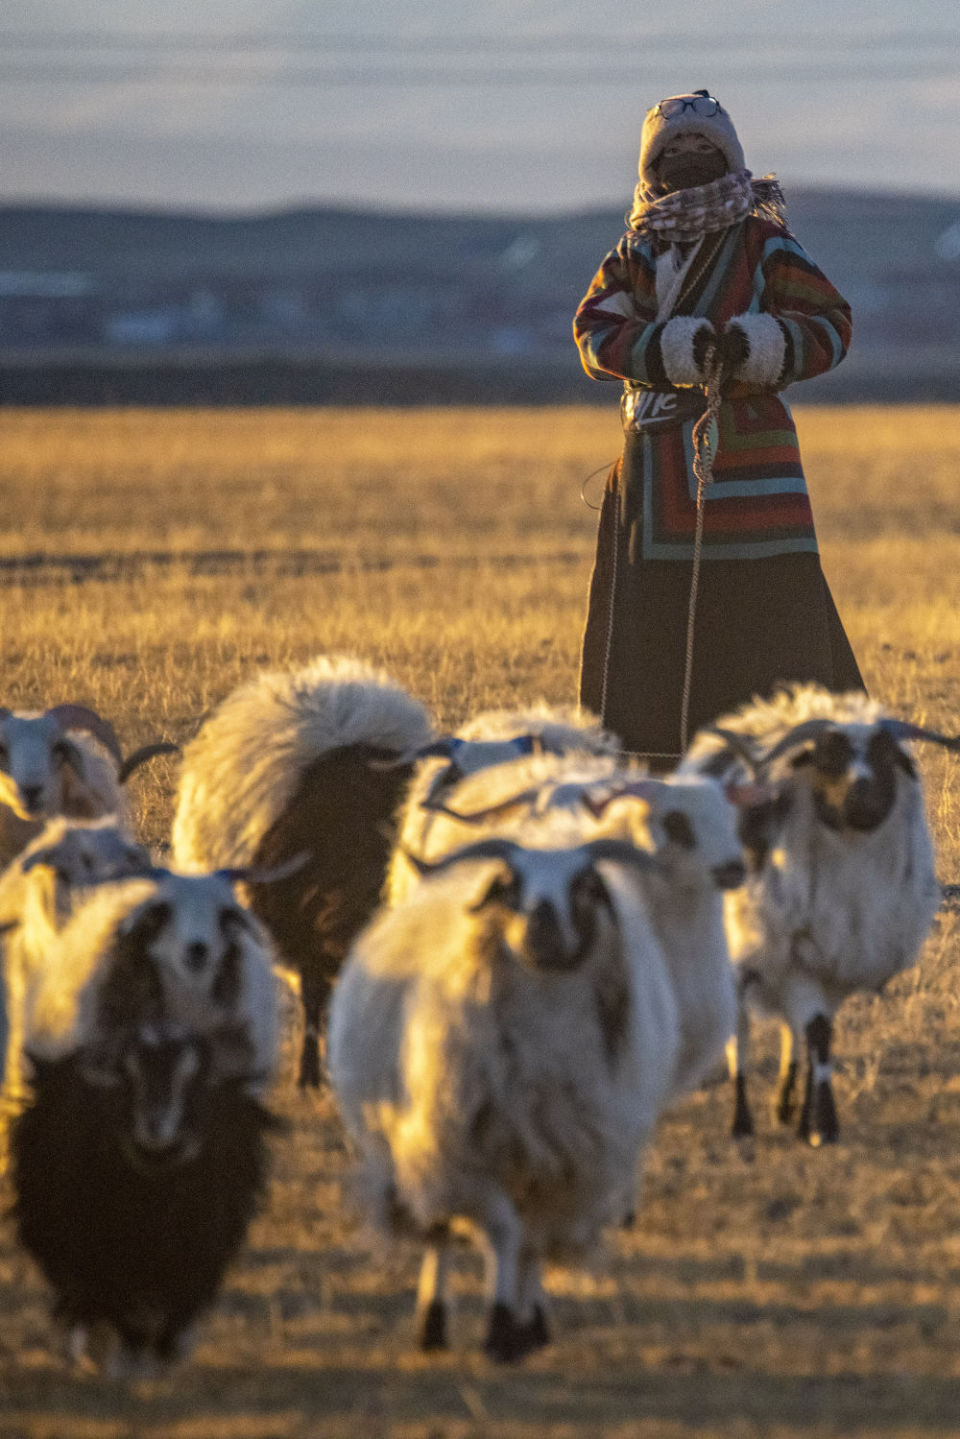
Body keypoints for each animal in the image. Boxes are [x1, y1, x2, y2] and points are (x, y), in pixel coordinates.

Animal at [326, 823, 679, 1358]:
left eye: (586, 885)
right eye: (509, 884)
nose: (541, 930)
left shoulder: (567, 1162)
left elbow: (533, 1240)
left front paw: (525, 1328)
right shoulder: (465, 1153)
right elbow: (503, 1232)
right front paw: (499, 1327)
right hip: (424, 1147)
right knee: (440, 1232)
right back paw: (432, 1323)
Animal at [679, 684, 949, 1145]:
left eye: (884, 755)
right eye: (827, 757)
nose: (861, 792)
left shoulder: (836, 960)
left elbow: (817, 1034)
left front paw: (810, 1119)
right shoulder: (793, 956)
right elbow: (816, 1033)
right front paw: (823, 1124)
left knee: (791, 1028)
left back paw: (786, 1105)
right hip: (738, 957)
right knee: (741, 1036)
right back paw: (742, 1123)